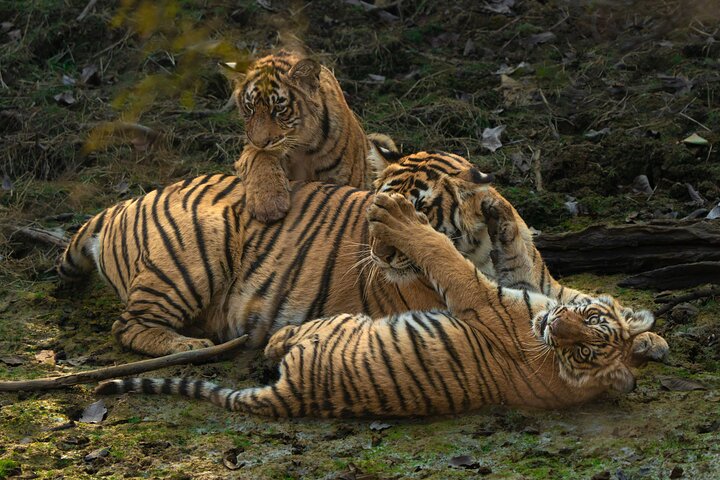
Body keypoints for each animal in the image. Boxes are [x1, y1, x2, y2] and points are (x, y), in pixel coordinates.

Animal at [57, 151, 594, 358]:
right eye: (376, 213)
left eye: (419, 209)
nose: (380, 255)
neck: (488, 248)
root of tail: (123, 203)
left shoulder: (544, 285)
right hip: (194, 253)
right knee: (127, 326)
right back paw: (188, 345)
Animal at [96, 193, 669, 417]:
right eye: (589, 322)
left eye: (586, 347)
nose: (556, 328)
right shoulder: (524, 290)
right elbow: (534, 267)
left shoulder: (487, 296)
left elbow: (443, 254)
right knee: (129, 323)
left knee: (127, 326)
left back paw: (198, 343)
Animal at [231, 50, 391, 222]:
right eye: (250, 107)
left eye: (279, 109)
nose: (259, 143)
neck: (303, 147)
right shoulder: (253, 148)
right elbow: (260, 158)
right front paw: (268, 204)